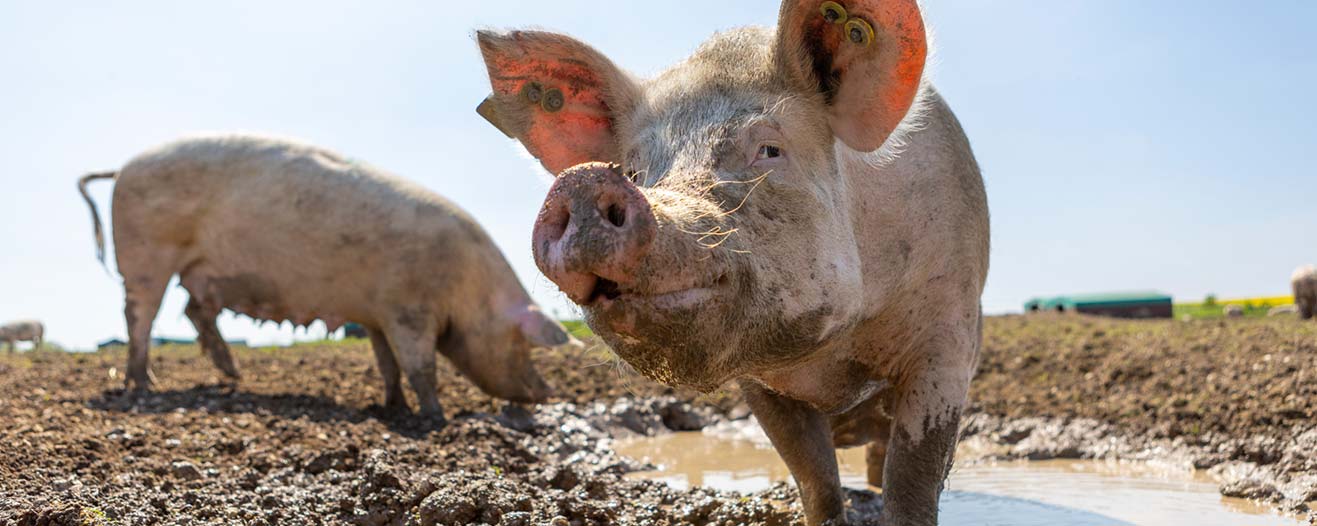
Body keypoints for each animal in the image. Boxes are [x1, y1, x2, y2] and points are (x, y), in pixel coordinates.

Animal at [77, 134, 573, 419]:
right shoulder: (408, 311)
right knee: (140, 316)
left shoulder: (376, 315)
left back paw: (232, 375)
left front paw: (391, 407)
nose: (548, 394)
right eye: (522, 344)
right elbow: (421, 366)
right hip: (146, 253)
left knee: (193, 310)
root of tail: (122, 168)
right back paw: (144, 385)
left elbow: (387, 364)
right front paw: (435, 418)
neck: (467, 292)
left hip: (198, 269)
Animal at [475, 1, 989, 523]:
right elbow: (814, 475)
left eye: (769, 149)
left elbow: (913, 478)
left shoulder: (949, 338)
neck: (831, 362)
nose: (581, 182)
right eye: (635, 171)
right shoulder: (757, 383)